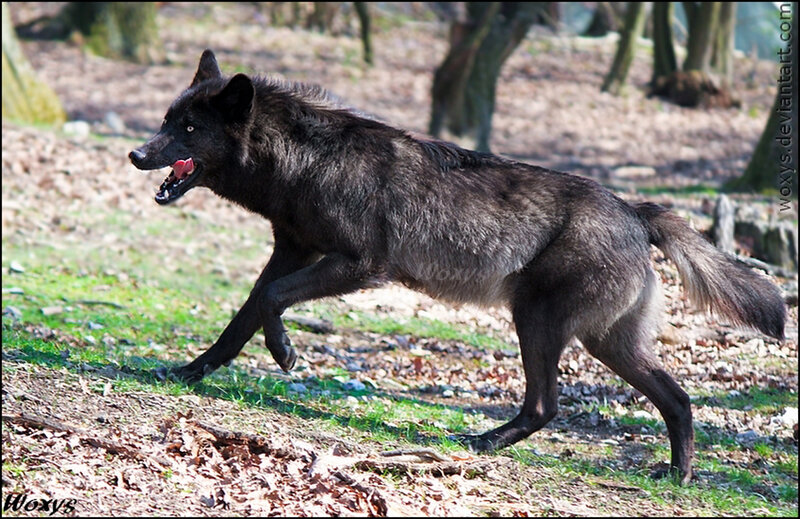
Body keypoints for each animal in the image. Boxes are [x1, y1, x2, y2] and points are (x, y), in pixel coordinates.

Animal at [129, 50, 786, 484]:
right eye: (165, 120)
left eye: (189, 128)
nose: (135, 154)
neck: (309, 161)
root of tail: (635, 207)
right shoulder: (290, 251)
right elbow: (241, 318)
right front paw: (187, 372)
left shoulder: (358, 267)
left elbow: (269, 303)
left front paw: (286, 353)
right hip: (605, 343)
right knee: (677, 399)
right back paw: (677, 476)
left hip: (538, 325)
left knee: (547, 406)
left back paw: (482, 442)